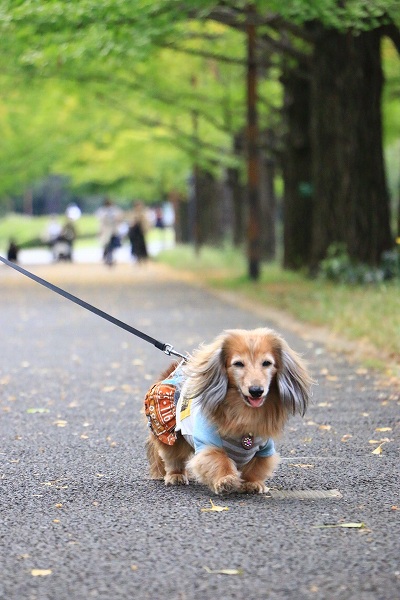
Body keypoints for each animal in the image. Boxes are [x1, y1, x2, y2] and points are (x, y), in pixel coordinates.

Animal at [145, 330, 314, 494]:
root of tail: (175, 371)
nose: (256, 391)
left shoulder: (264, 449)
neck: (245, 412)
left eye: (267, 363)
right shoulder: (208, 444)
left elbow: (256, 467)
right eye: (238, 364)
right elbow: (219, 460)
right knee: (173, 457)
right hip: (172, 435)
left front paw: (251, 483)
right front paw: (226, 480)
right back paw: (176, 475)